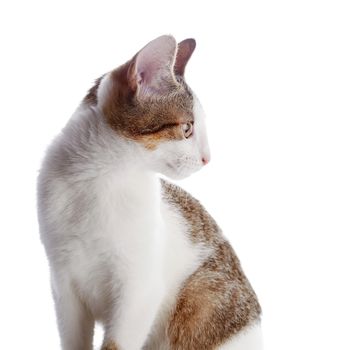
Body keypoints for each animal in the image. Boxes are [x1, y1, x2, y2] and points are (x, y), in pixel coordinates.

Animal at [37, 33, 262, 350]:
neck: (98, 179)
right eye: (187, 128)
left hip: (201, 297)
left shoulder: (138, 291)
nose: (207, 158)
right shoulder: (63, 283)